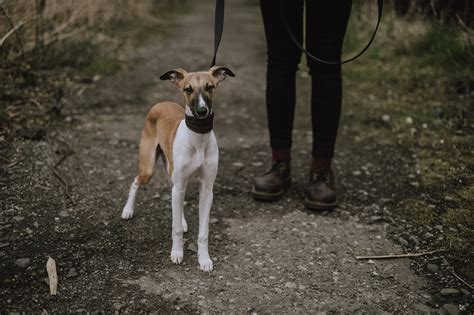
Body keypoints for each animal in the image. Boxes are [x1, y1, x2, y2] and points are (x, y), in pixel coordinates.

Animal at [121, 65, 234, 272]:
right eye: (188, 89)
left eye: (210, 86)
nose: (202, 111)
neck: (198, 138)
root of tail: (161, 103)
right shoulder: (180, 183)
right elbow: (175, 229)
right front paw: (177, 253)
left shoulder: (207, 190)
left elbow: (203, 231)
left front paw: (204, 259)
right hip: (149, 167)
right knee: (136, 181)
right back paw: (128, 210)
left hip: (174, 176)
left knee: (175, 197)